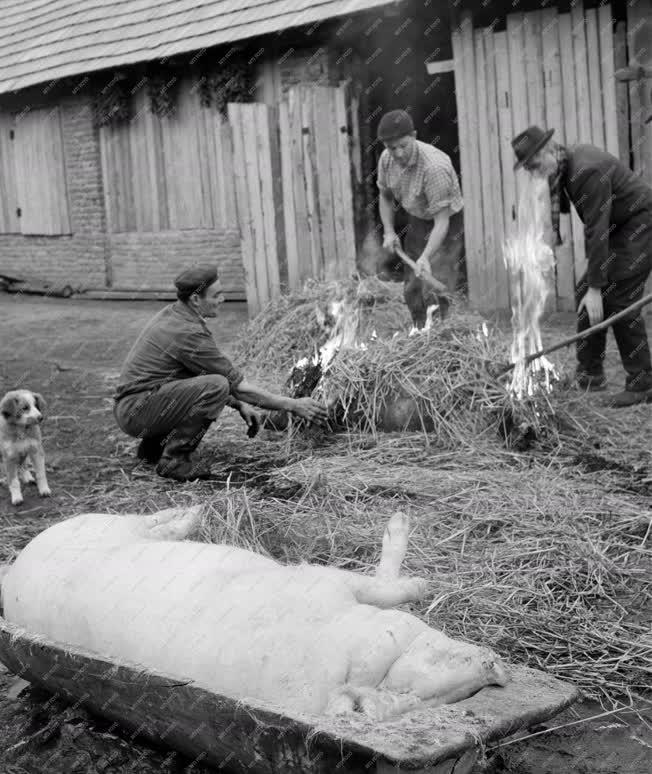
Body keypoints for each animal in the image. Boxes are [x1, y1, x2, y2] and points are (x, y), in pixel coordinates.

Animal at [1, 510, 510, 720]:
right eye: (410, 687)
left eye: (423, 703)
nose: (494, 666)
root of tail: (17, 565)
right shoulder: (322, 580)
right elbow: (386, 586)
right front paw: (424, 583)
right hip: (99, 524)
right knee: (146, 519)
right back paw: (192, 511)